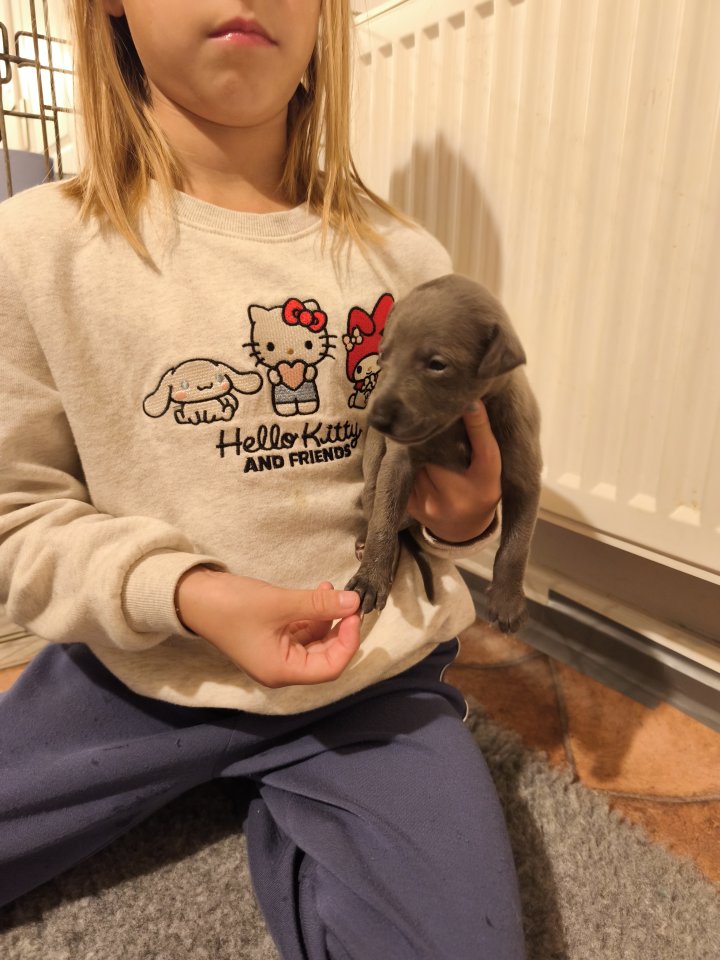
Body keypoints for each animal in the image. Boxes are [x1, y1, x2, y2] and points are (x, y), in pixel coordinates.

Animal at [345, 273, 542, 633]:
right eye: (382, 358)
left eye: (437, 365)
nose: (375, 418)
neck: (457, 425)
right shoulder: (397, 464)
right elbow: (383, 521)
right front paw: (370, 578)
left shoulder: (525, 478)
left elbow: (516, 546)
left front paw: (507, 601)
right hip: (372, 474)